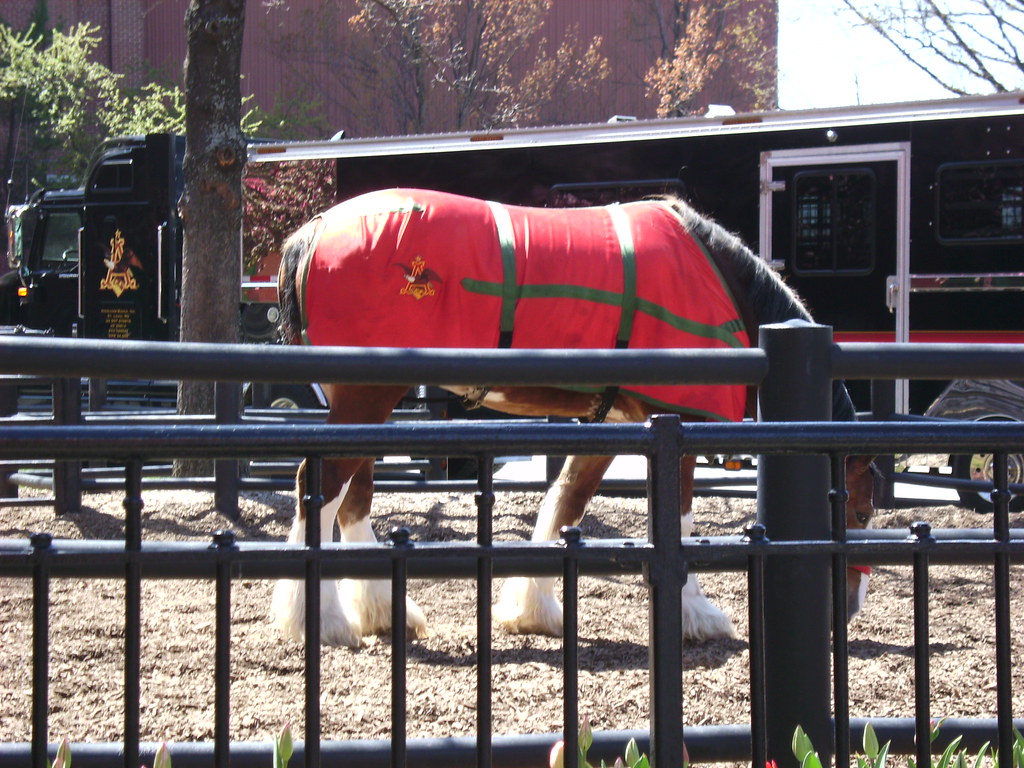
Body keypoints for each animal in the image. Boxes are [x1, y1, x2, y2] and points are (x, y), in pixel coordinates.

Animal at [270, 187, 876, 648]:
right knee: (320, 487)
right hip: (366, 397)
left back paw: (383, 612)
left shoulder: (611, 422)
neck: (725, 284)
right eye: (862, 508)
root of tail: (312, 232)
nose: (845, 611)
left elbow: (564, 503)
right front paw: (697, 616)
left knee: (353, 500)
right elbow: (677, 521)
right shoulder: (672, 419)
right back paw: (320, 620)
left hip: (368, 402)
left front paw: (532, 608)